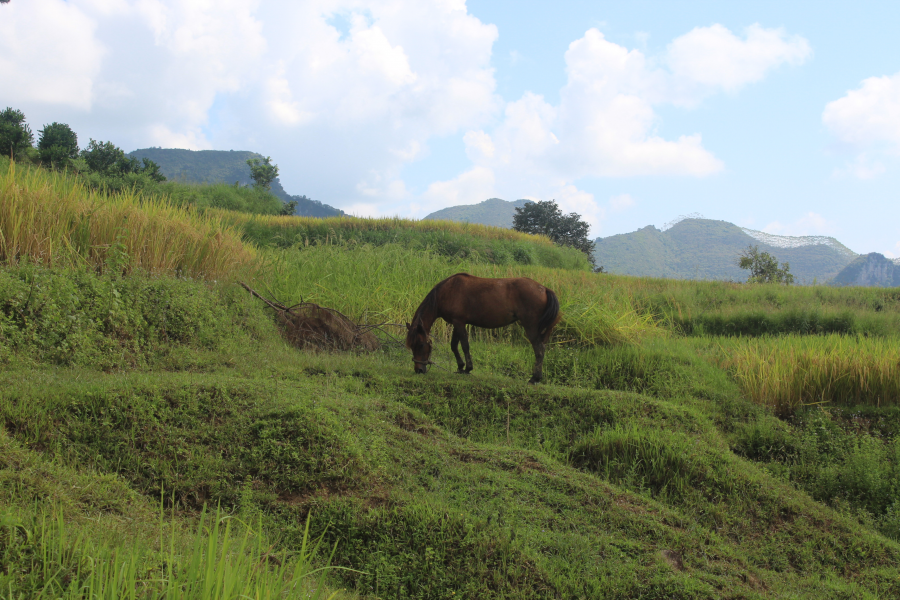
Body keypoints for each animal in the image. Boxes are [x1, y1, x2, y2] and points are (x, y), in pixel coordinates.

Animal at [404, 274, 560, 384]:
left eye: (421, 345)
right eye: (412, 346)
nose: (419, 370)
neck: (447, 291)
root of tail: (544, 289)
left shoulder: (459, 323)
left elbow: (464, 345)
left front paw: (467, 368)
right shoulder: (456, 323)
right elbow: (454, 345)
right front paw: (460, 367)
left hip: (531, 327)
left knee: (539, 350)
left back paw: (534, 378)